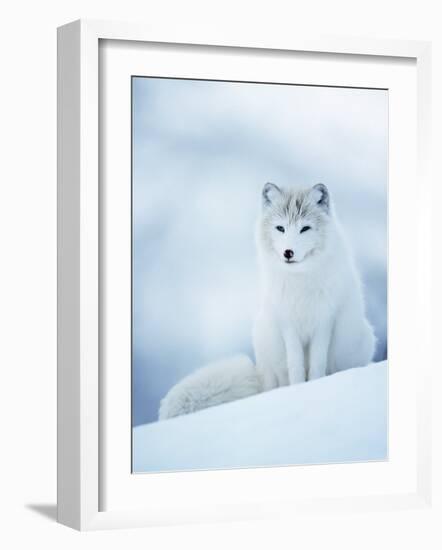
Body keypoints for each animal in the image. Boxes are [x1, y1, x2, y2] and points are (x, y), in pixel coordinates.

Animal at [157, 183, 374, 420]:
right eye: (280, 228)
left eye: (305, 229)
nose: (288, 252)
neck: (300, 281)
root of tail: (258, 375)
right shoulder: (287, 323)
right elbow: (295, 365)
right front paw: (298, 390)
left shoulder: (324, 321)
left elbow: (317, 364)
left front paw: (314, 387)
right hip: (265, 343)